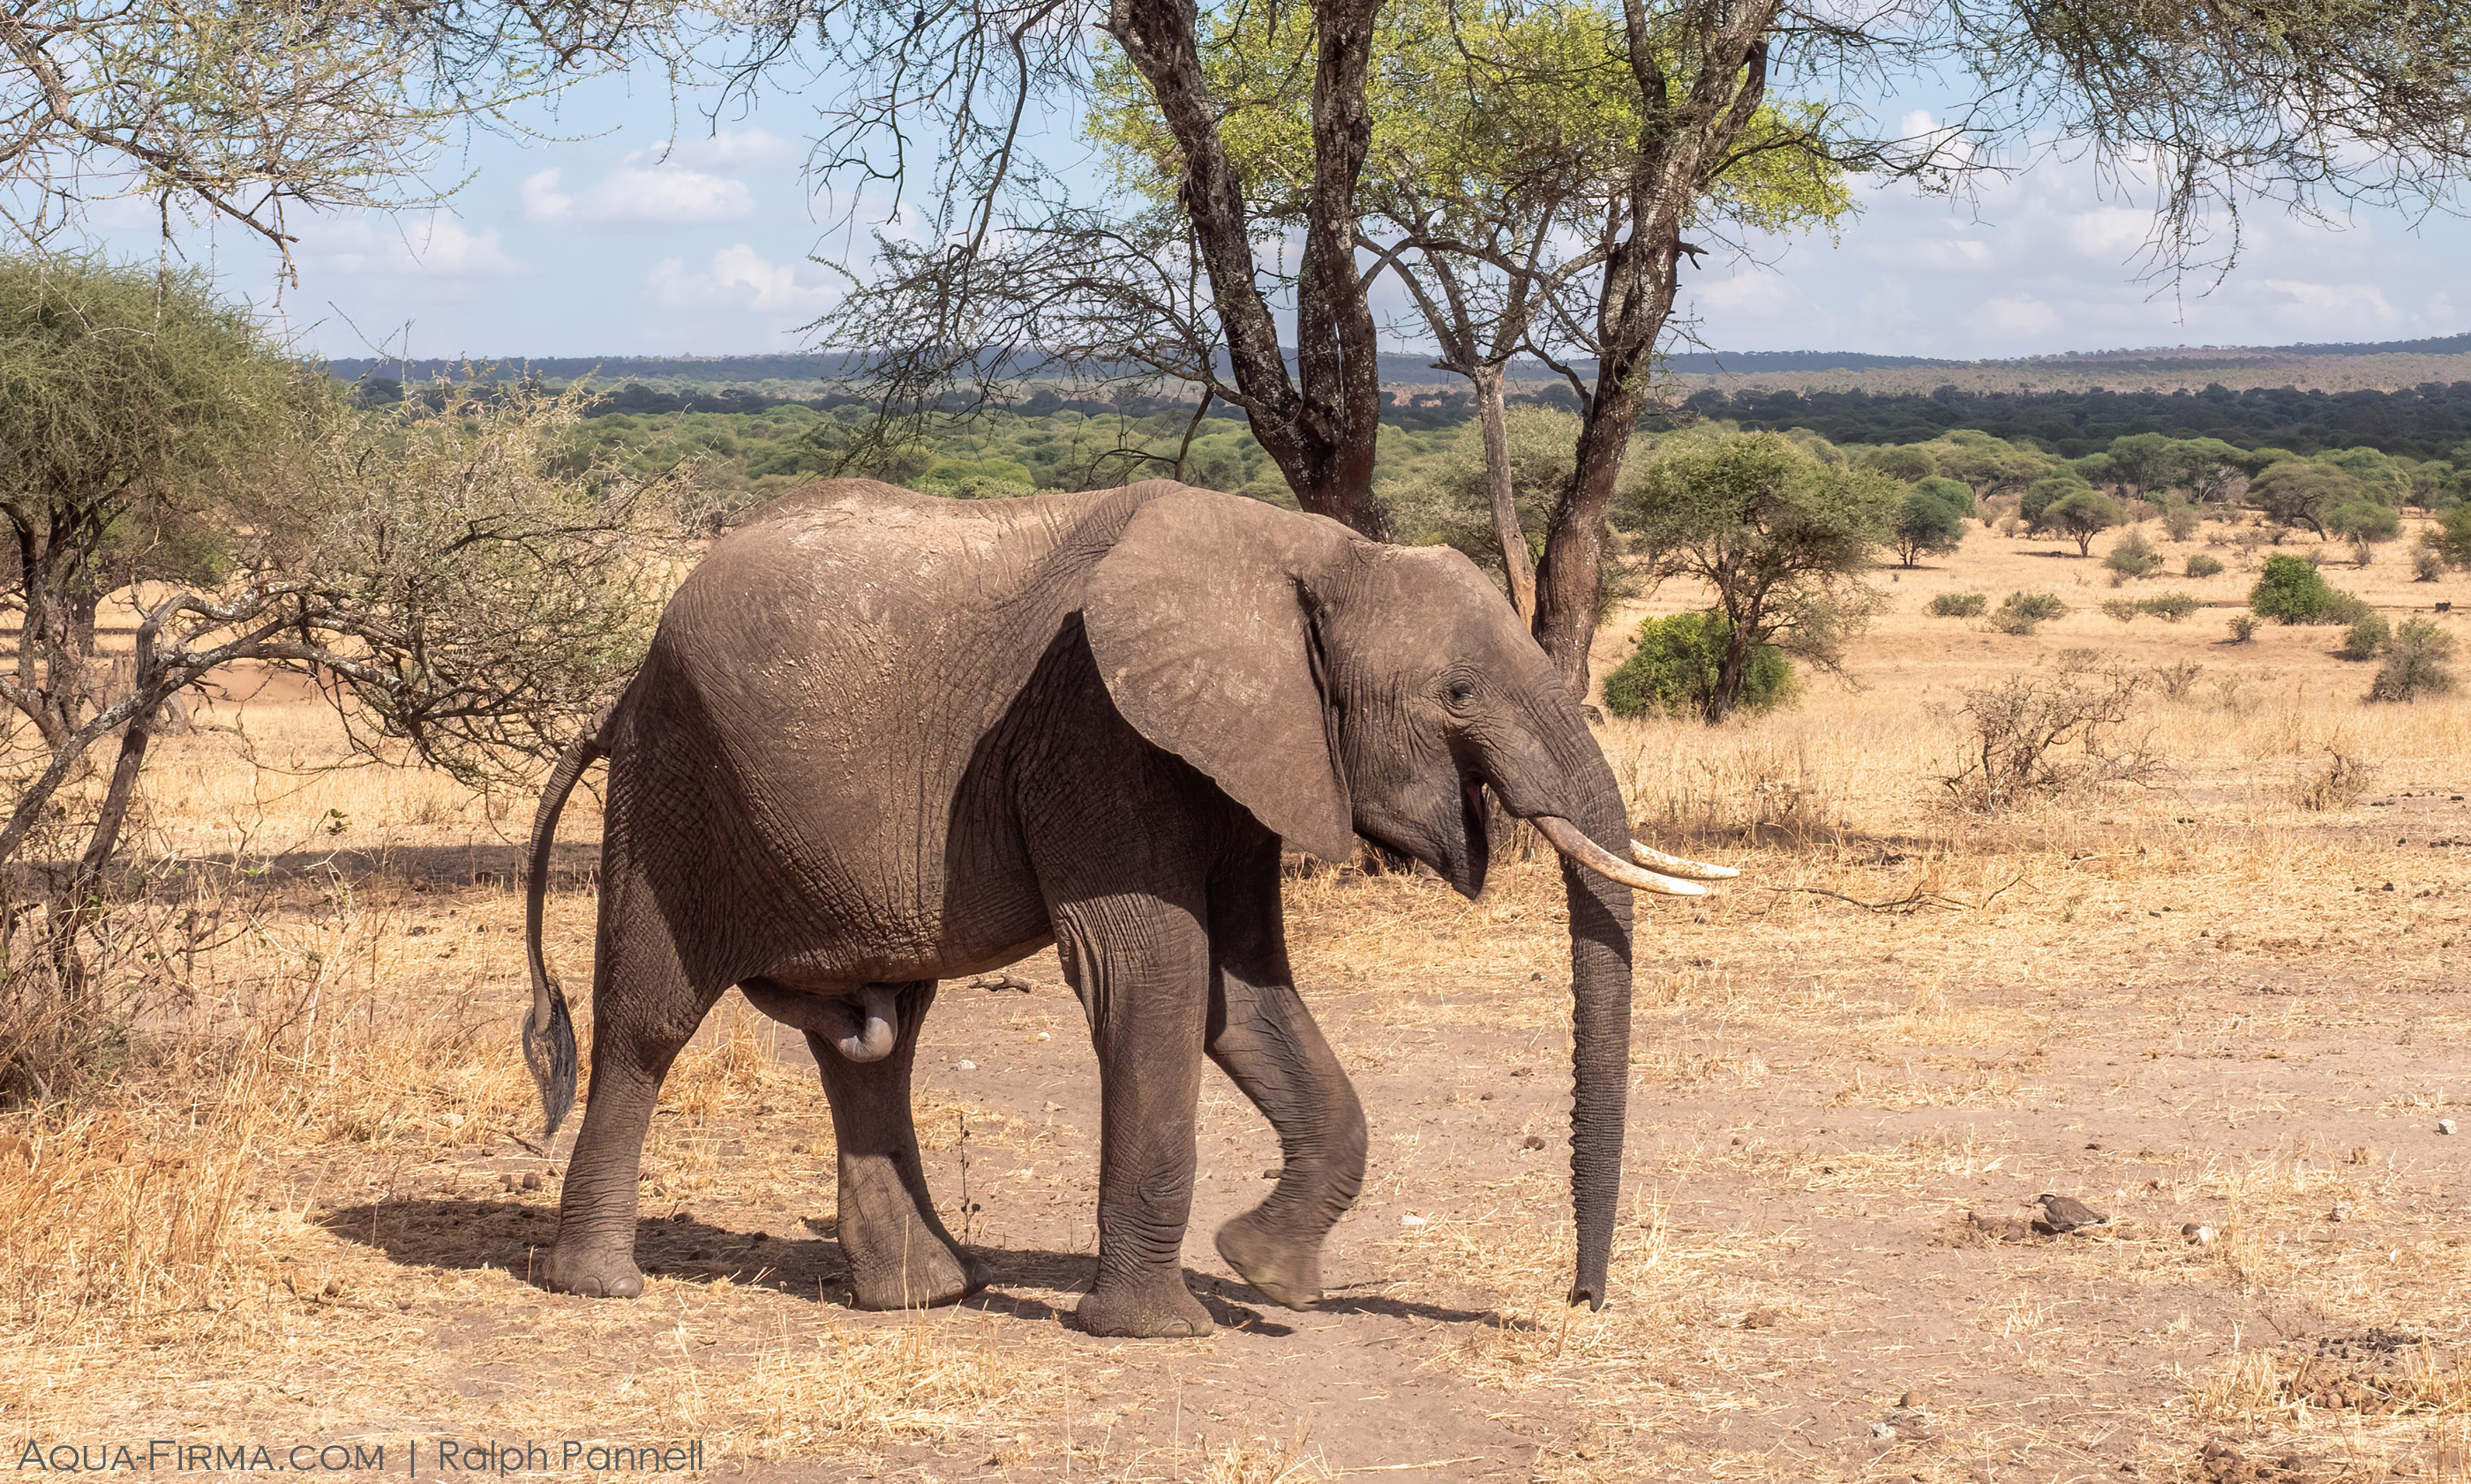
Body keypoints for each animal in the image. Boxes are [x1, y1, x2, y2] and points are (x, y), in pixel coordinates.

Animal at [520, 477, 1731, 1338]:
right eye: (1458, 694)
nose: (1580, 1301)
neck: (1305, 553)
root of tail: (621, 690)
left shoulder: (1243, 751)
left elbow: (1241, 987)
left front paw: (1267, 1271)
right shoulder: (1097, 727)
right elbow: (1155, 974)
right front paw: (1160, 1326)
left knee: (876, 1038)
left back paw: (923, 1296)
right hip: (676, 783)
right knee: (650, 1022)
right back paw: (602, 1287)